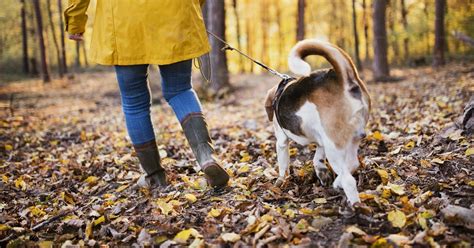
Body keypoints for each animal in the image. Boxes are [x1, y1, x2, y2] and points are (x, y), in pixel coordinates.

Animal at [264, 39, 372, 205]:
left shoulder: (281, 141)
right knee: (353, 164)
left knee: (349, 180)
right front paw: (322, 173)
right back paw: (337, 183)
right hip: (351, 139)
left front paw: (280, 181)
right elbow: (317, 159)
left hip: (334, 147)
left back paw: (355, 205)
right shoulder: (322, 140)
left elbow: (283, 166)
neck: (280, 90)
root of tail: (343, 79)